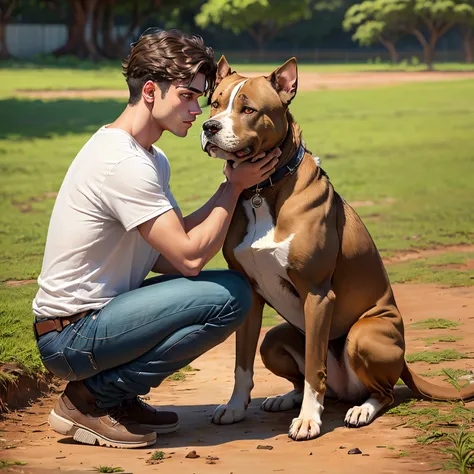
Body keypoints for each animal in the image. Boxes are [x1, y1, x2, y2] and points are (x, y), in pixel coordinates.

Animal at [200, 56, 474, 440]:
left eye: (248, 109)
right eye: (214, 103)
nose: (209, 127)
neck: (263, 190)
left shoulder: (317, 294)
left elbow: (315, 367)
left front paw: (308, 420)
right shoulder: (252, 295)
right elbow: (242, 362)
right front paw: (236, 408)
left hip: (364, 335)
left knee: (382, 392)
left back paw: (361, 410)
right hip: (275, 338)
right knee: (302, 375)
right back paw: (286, 398)